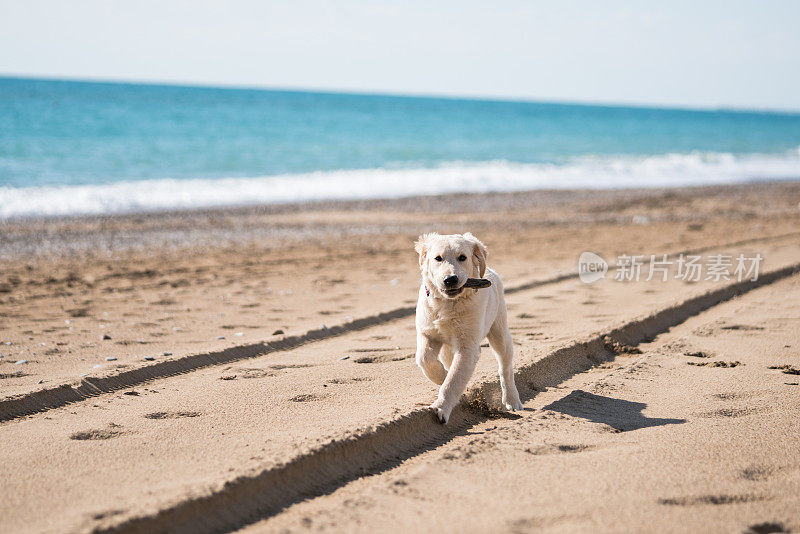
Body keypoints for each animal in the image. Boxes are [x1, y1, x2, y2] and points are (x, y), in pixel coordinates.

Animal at [412, 232, 524, 426]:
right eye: (438, 258)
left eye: (462, 257)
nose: (450, 280)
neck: (448, 304)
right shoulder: (428, 333)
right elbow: (426, 360)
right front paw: (442, 377)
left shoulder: (467, 346)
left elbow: (454, 379)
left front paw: (441, 408)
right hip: (449, 346)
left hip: (499, 330)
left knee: (505, 367)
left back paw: (512, 400)